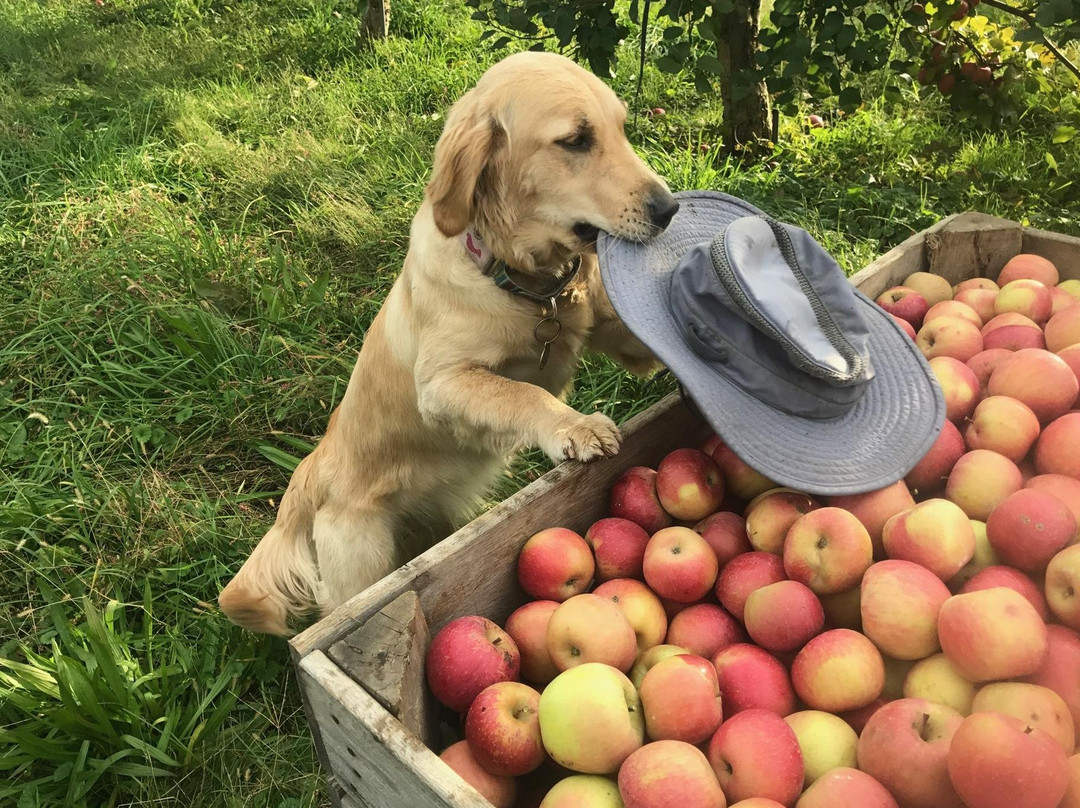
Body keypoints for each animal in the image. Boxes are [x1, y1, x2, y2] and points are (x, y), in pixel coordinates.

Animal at [214, 52, 678, 639]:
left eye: (621, 128)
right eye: (576, 140)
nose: (670, 210)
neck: (529, 286)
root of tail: (309, 473)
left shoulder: (620, 338)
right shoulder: (443, 384)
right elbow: (523, 394)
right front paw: (575, 427)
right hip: (362, 559)